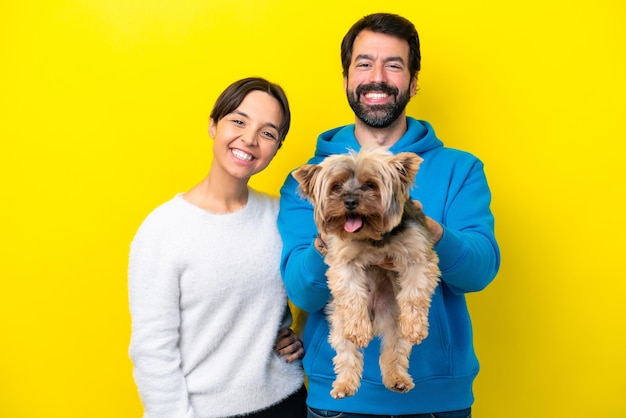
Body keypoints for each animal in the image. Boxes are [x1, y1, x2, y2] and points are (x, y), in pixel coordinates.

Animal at [292, 148, 438, 398]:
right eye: (336, 186)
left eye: (370, 184)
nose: (350, 201)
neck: (371, 235)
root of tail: (375, 316)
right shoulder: (343, 261)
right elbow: (351, 294)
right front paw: (359, 330)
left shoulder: (417, 254)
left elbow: (415, 294)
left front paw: (415, 327)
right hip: (339, 321)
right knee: (345, 351)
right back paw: (344, 384)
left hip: (393, 315)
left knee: (395, 347)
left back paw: (397, 379)